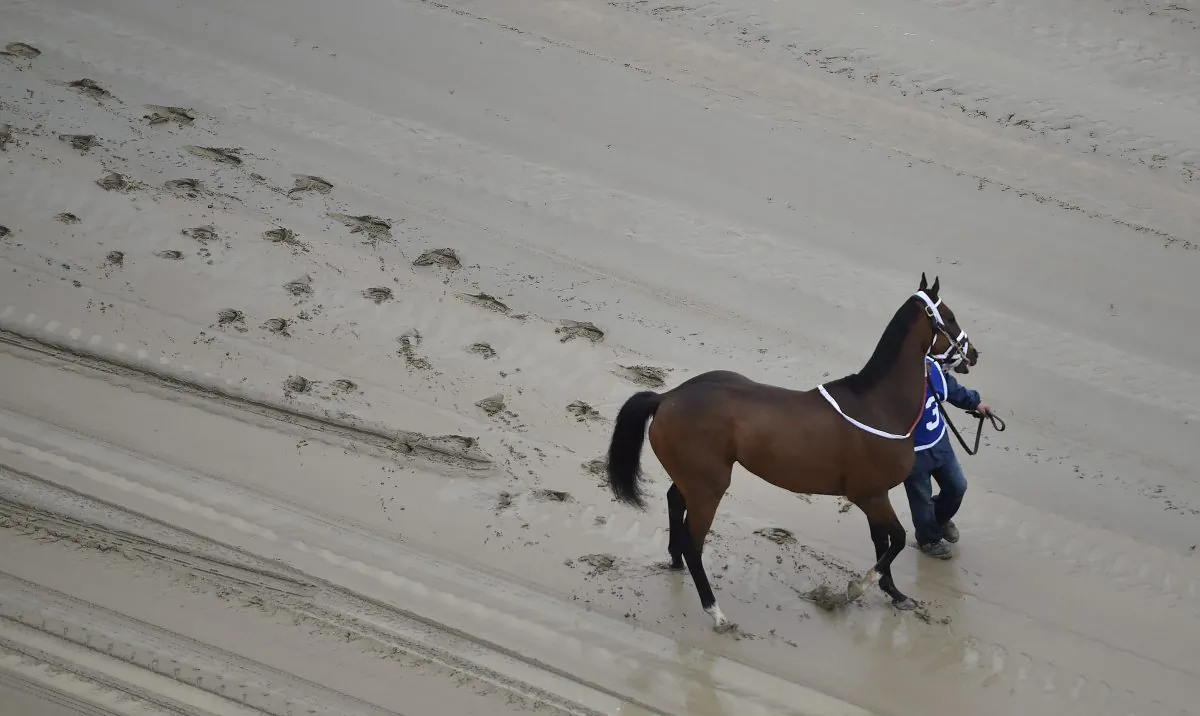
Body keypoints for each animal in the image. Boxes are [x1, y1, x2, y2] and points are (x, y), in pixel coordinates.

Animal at [604, 274, 978, 631]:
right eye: (949, 317)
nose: (973, 354)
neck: (878, 405)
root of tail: (666, 398)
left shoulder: (876, 496)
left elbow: (882, 544)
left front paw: (895, 594)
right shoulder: (869, 495)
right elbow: (896, 540)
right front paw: (853, 590)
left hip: (692, 481)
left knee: (674, 505)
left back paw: (674, 563)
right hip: (708, 490)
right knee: (693, 544)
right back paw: (716, 613)